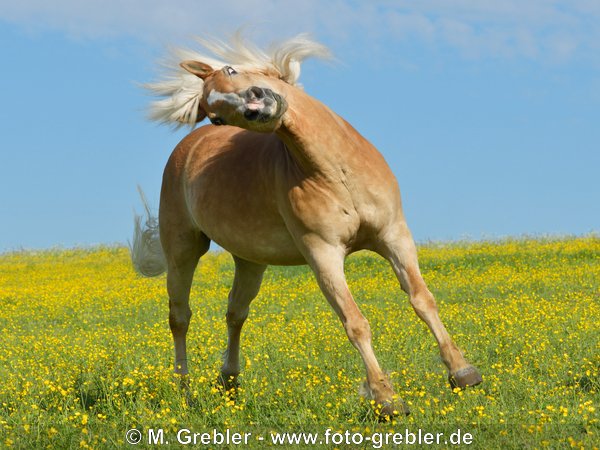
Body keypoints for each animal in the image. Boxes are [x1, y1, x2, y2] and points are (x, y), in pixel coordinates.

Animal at [132, 33, 482, 416]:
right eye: (217, 117)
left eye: (231, 69)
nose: (256, 104)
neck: (336, 171)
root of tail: (188, 147)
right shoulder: (322, 253)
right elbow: (355, 323)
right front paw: (386, 398)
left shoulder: (395, 236)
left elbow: (423, 300)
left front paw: (462, 372)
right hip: (183, 249)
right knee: (180, 317)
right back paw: (186, 394)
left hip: (250, 261)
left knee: (236, 313)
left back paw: (229, 384)